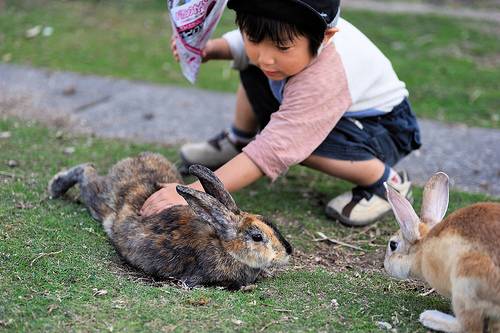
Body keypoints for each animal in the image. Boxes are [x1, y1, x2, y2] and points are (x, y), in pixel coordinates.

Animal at [48, 151, 292, 288]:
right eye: (257, 237)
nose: (287, 252)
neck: (224, 246)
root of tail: (136, 159)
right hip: (101, 204)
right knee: (88, 171)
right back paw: (55, 187)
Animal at [384, 172, 498, 330]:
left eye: (393, 245)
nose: (385, 266)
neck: (422, 250)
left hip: (465, 283)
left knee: (467, 326)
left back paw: (429, 317)